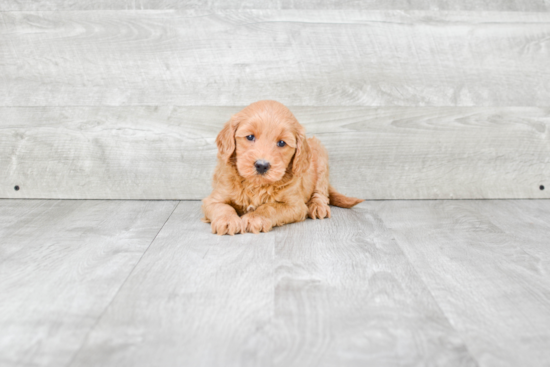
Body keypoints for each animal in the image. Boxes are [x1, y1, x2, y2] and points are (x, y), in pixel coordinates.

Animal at [202, 100, 362, 236]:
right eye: (250, 137)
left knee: (321, 192)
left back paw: (317, 206)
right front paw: (227, 220)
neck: (256, 185)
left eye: (281, 143)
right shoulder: (214, 198)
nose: (262, 165)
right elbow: (223, 207)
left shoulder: (295, 205)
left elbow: (270, 207)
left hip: (321, 159)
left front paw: (256, 217)